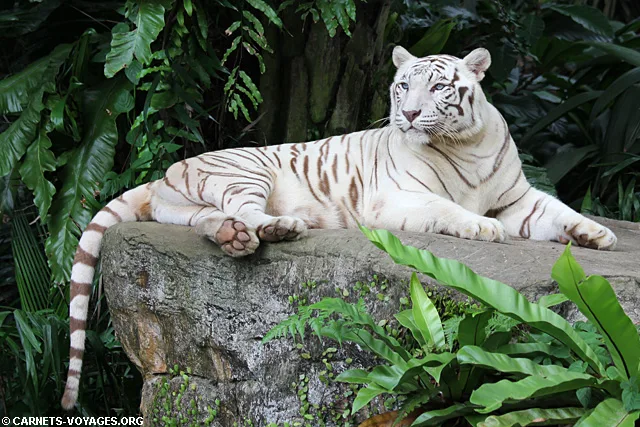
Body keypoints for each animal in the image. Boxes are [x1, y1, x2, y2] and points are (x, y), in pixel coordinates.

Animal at [61, 46, 617, 410]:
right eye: (403, 86)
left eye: (438, 87)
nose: (408, 113)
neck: (467, 143)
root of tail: (167, 172)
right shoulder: (398, 198)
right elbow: (450, 210)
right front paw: (482, 229)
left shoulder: (518, 199)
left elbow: (559, 211)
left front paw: (597, 235)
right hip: (246, 171)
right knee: (245, 209)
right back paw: (280, 227)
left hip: (193, 207)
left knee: (212, 220)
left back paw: (234, 238)